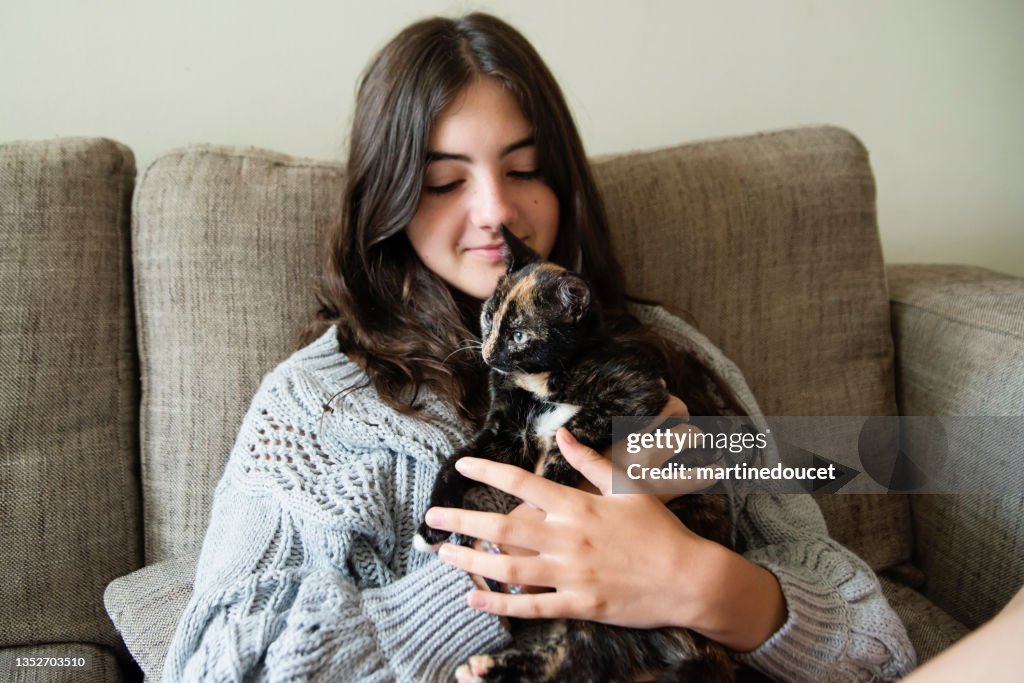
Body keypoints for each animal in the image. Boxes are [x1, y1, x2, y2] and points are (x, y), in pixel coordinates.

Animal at [415, 228, 737, 683]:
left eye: (519, 335)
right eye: (488, 318)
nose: (489, 355)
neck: (544, 377)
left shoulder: (634, 392)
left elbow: (571, 430)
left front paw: (549, 488)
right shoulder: (506, 434)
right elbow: (457, 463)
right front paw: (431, 525)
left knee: (582, 658)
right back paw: (486, 667)